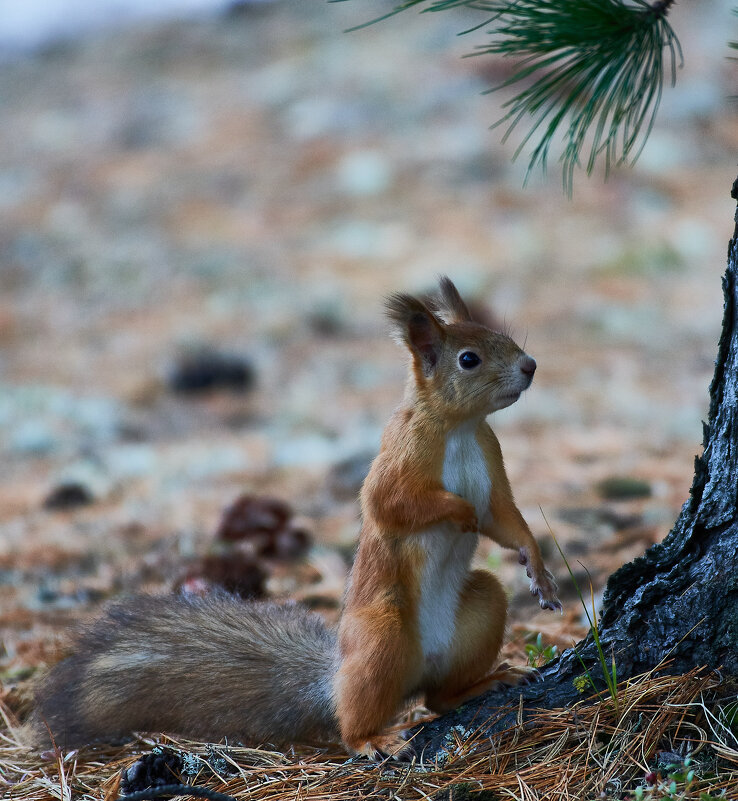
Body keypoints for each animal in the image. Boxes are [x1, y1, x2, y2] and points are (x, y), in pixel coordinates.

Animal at [27, 276, 556, 756]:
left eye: (501, 336)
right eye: (469, 359)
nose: (530, 366)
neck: (460, 427)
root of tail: (335, 679)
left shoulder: (491, 462)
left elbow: (505, 519)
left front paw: (539, 569)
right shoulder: (399, 459)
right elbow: (393, 504)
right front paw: (458, 510)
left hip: (480, 610)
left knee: (439, 697)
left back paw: (482, 683)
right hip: (381, 635)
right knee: (357, 719)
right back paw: (372, 739)